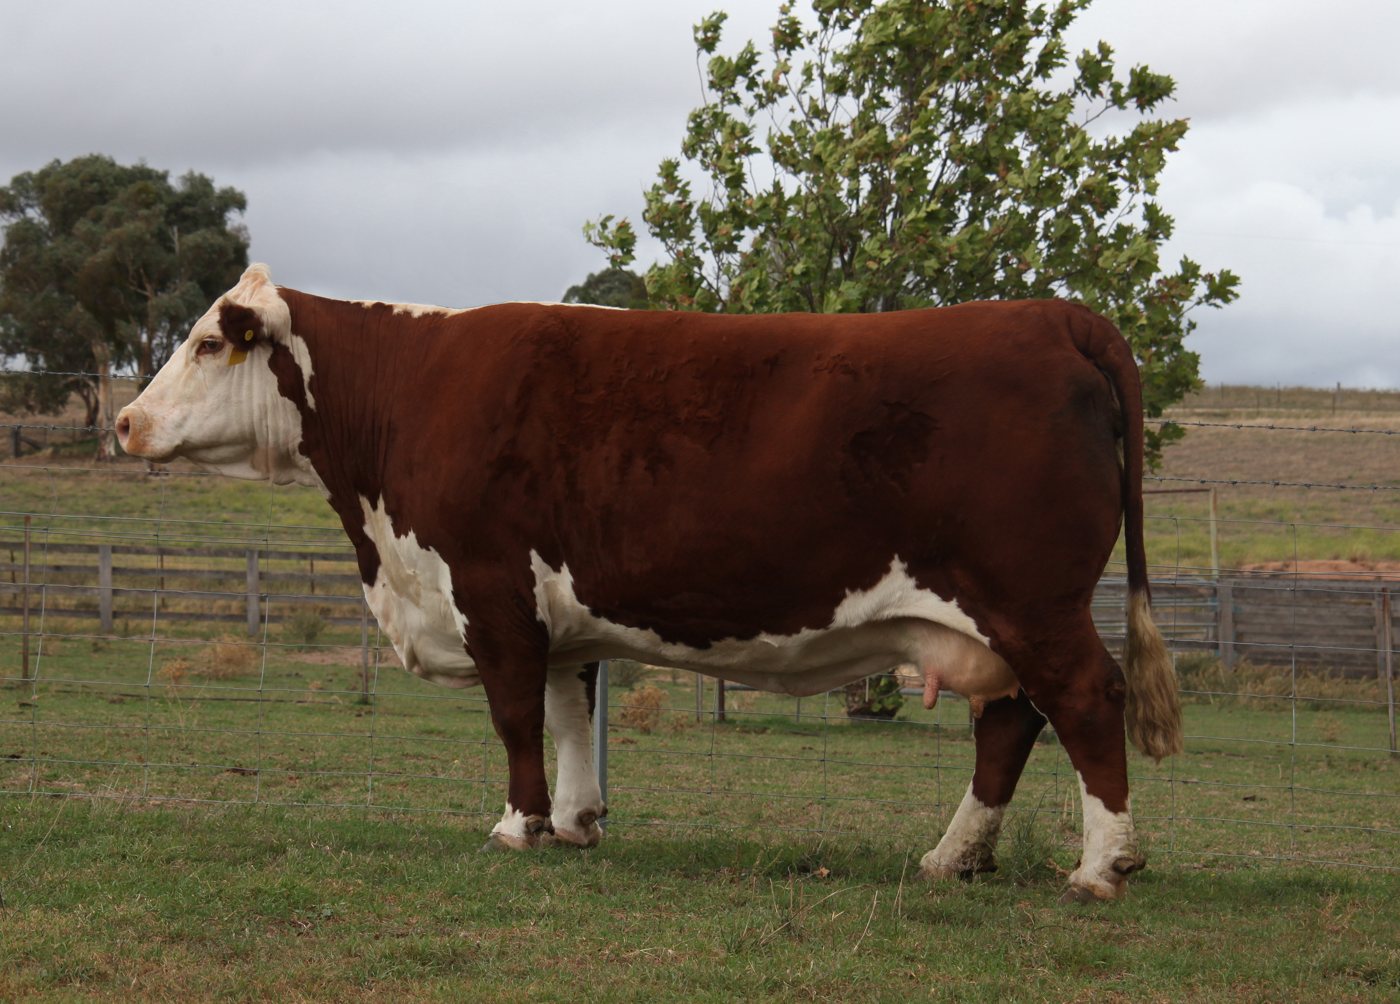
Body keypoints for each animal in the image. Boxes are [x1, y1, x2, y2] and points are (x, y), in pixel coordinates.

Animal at [117, 264, 1182, 902]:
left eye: (208, 343)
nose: (124, 423)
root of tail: (1053, 313)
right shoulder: (555, 613)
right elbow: (567, 712)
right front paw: (576, 823)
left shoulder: (490, 589)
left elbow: (515, 717)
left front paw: (517, 826)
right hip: (996, 620)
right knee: (1010, 721)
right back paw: (953, 857)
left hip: (1031, 601)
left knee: (1085, 699)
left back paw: (1101, 866)